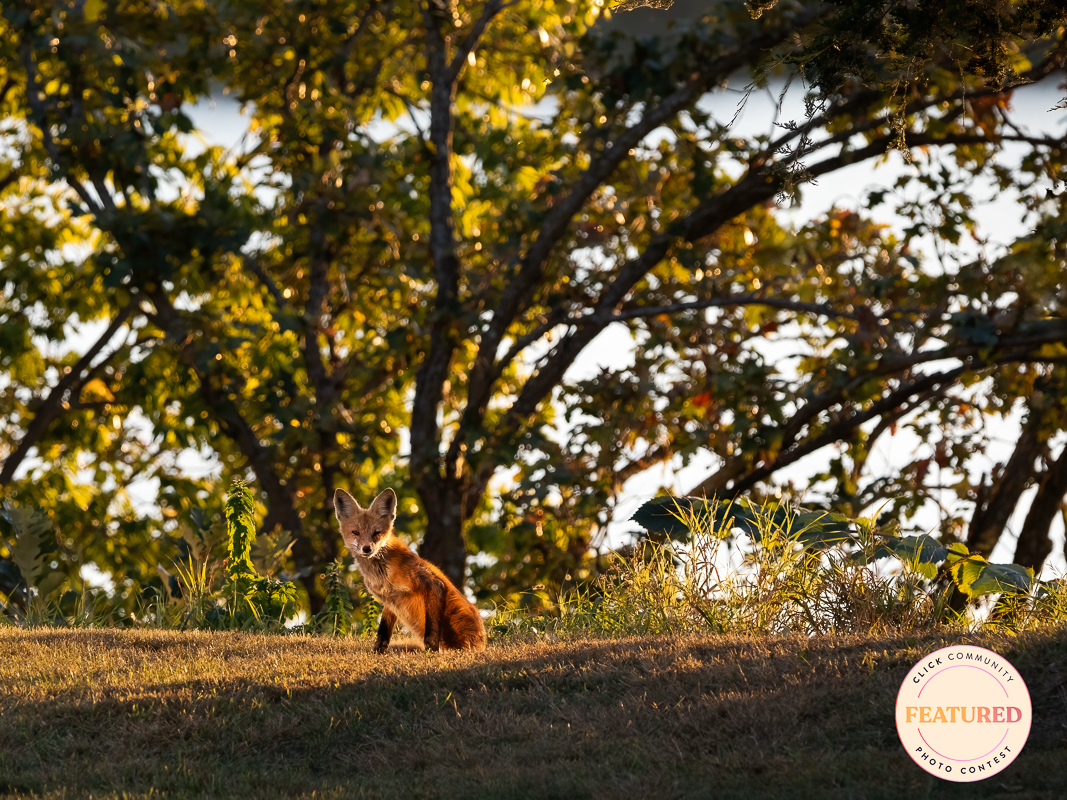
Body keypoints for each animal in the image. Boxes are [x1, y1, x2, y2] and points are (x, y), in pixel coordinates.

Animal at [332, 488, 488, 652]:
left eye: (376, 533)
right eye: (355, 532)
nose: (367, 548)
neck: (382, 573)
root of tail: (483, 643)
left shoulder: (433, 585)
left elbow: (431, 631)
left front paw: (432, 652)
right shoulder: (390, 599)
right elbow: (383, 632)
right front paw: (378, 652)